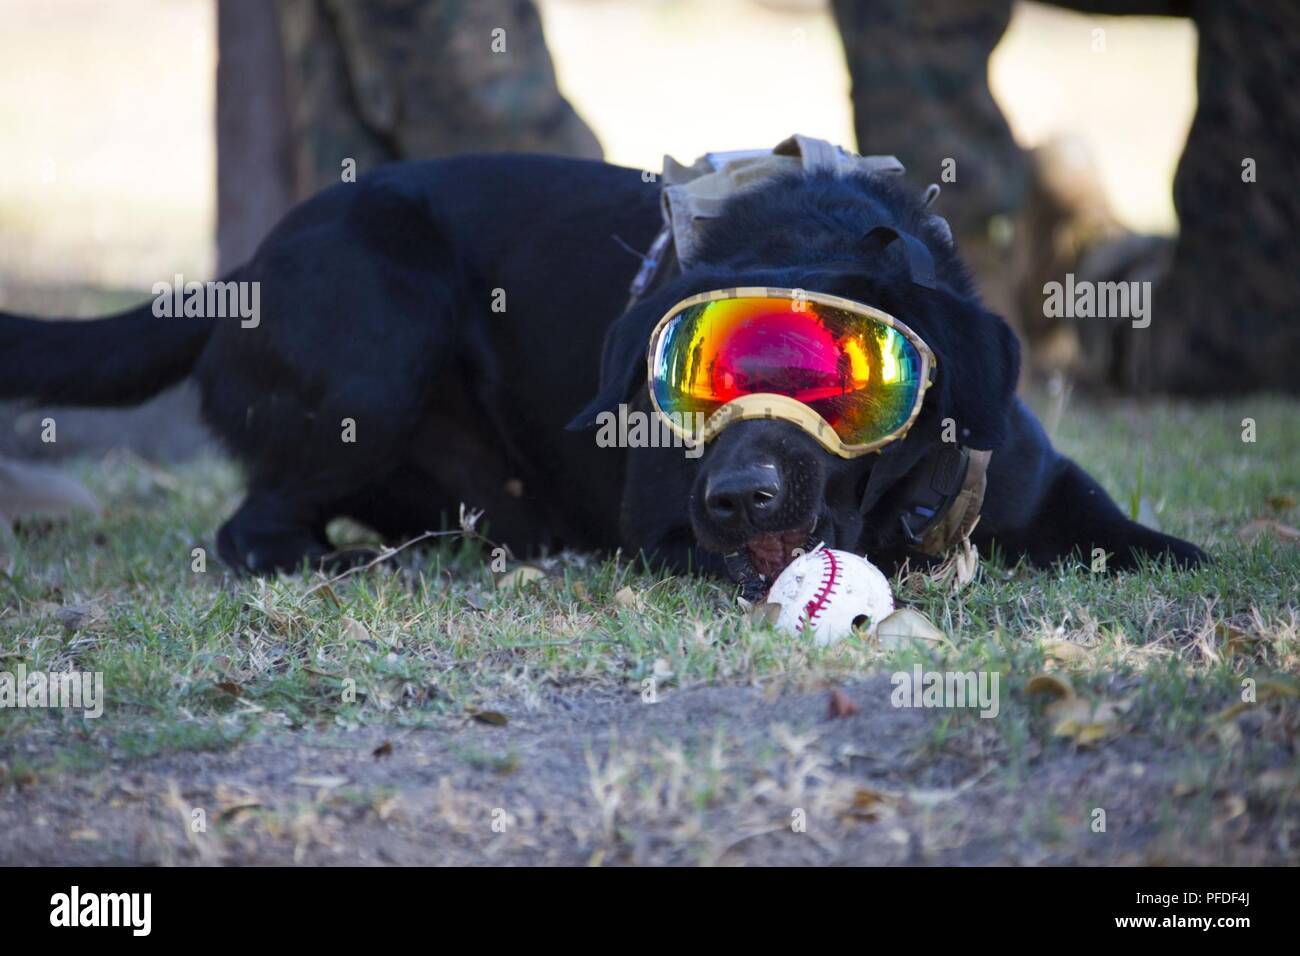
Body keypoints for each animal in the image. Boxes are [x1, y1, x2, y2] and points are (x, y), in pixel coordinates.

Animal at [0, 155, 1201, 582]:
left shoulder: (1035, 477)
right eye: (687, 392)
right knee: (251, 525)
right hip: (381, 331)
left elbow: (1135, 536)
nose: (737, 497)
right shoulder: (668, 531)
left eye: (834, 379)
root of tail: (239, 271)